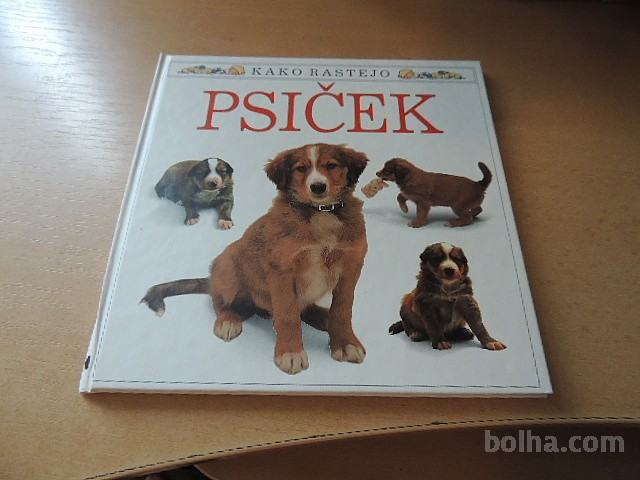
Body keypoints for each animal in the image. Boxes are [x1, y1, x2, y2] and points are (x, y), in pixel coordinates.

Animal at [142, 144, 369, 375]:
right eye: (300, 169)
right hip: (228, 266)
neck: (320, 212)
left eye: (331, 165)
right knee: (219, 300)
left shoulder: (351, 268)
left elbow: (342, 311)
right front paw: (291, 352)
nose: (318, 187)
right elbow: (287, 315)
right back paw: (228, 320)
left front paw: (345, 343)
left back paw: (324, 317)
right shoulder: (282, 271)